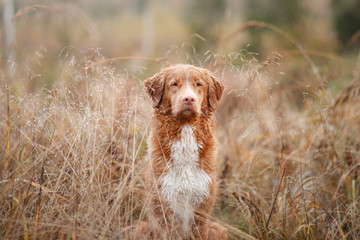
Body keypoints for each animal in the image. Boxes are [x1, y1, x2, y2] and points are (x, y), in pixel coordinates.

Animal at [137, 64, 225, 240]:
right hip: (140, 228)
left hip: (217, 229)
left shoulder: (202, 209)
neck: (185, 127)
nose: (189, 99)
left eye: (198, 84)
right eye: (174, 84)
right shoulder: (162, 206)